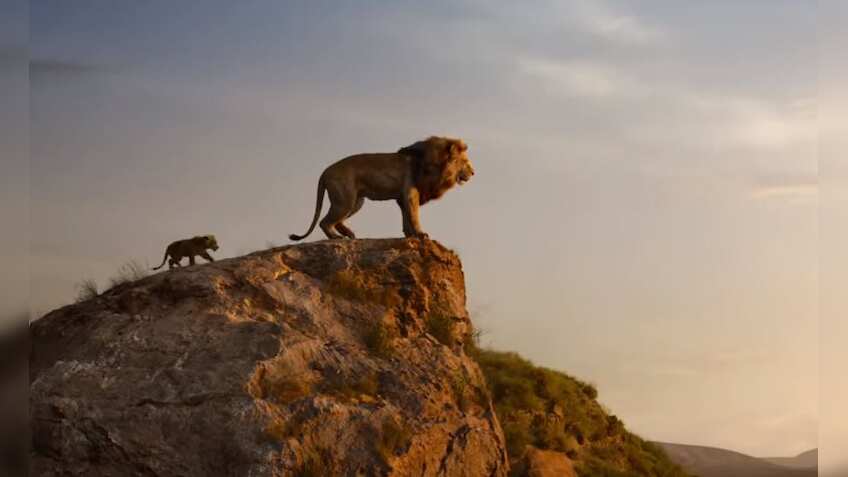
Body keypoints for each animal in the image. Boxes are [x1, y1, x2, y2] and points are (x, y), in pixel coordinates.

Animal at [289, 136, 474, 241]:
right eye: (465, 162)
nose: (474, 172)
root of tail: (325, 172)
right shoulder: (411, 193)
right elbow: (414, 215)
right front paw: (421, 234)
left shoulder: (402, 197)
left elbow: (406, 217)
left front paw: (409, 235)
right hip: (345, 200)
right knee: (324, 222)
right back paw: (336, 237)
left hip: (356, 201)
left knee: (337, 220)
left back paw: (348, 234)